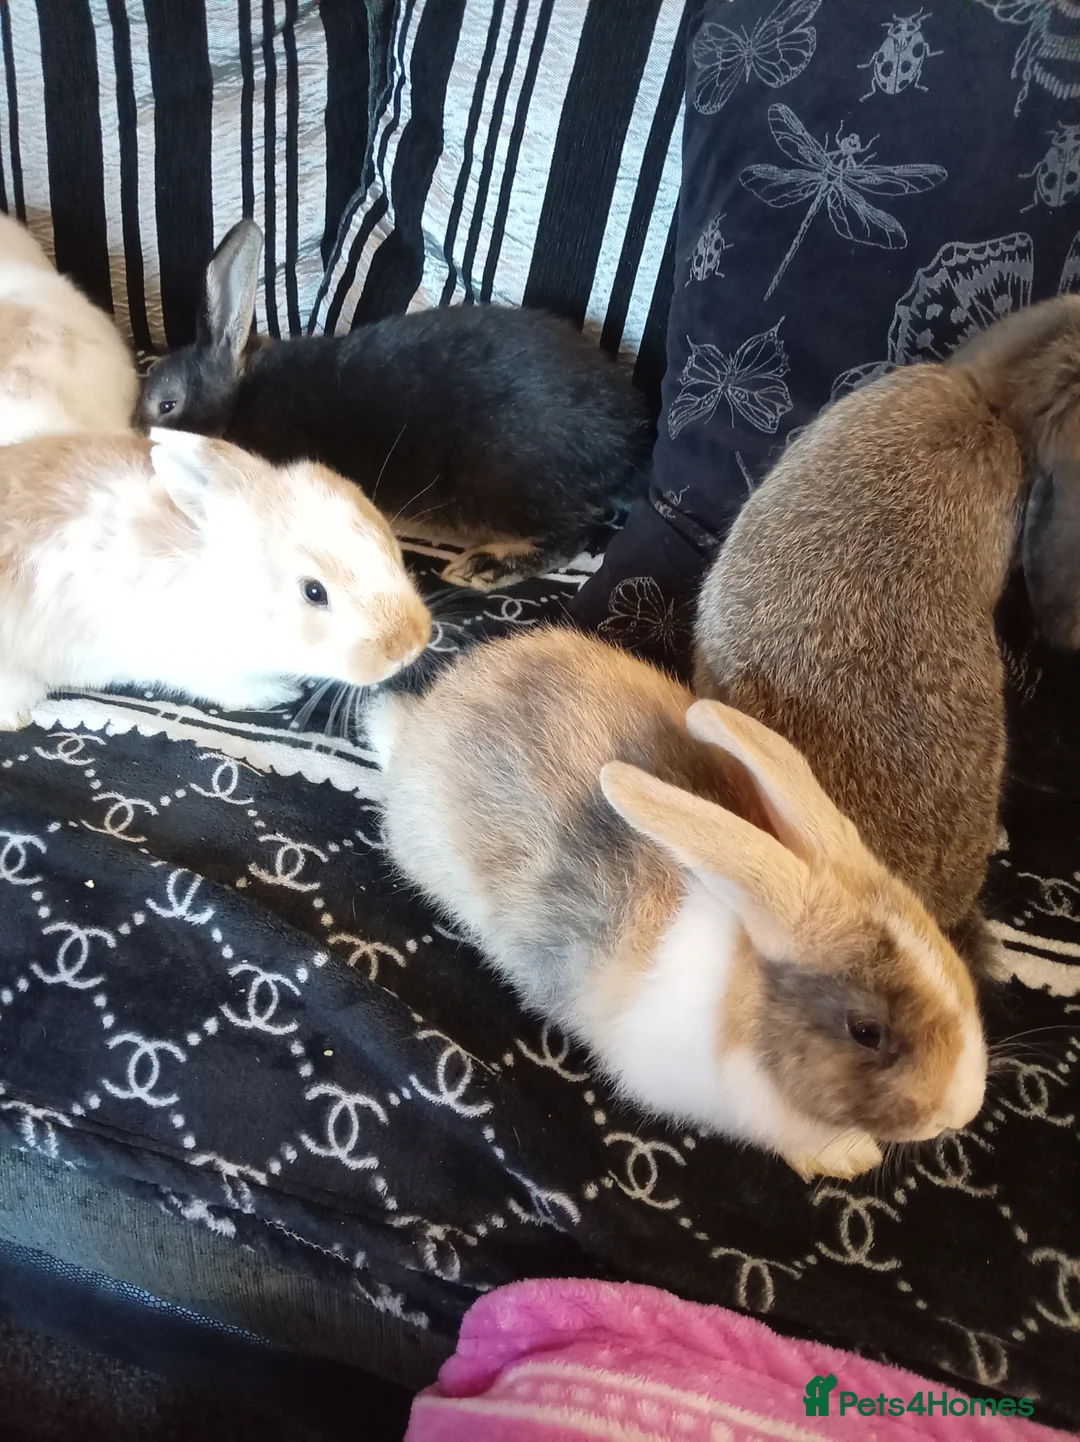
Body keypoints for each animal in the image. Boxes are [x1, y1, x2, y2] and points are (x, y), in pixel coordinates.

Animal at [0, 427, 431, 729]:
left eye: (390, 544)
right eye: (314, 592)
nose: (410, 645)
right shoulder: (203, 666)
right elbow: (238, 691)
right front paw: (278, 694)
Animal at [137, 220, 651, 591]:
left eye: (167, 405)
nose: (137, 438)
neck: (234, 401)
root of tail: (628, 440)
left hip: (504, 479)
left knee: (572, 534)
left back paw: (481, 567)